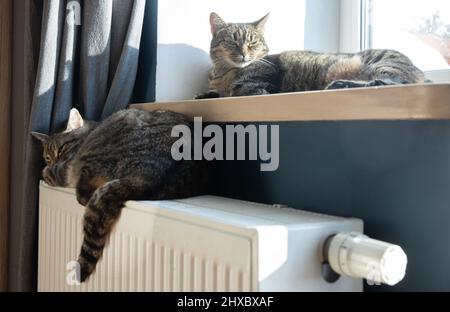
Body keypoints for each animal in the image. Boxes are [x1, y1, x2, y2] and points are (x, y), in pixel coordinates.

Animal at [32, 108, 206, 282]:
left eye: (62, 149)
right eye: (47, 157)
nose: (53, 162)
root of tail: (152, 177)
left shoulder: (65, 168)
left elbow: (51, 173)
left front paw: (46, 171)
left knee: (83, 196)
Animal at [196, 12, 426, 98]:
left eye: (252, 42)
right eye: (232, 41)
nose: (244, 54)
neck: (224, 73)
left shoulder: (261, 85)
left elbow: (238, 90)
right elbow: (216, 93)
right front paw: (206, 94)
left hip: (384, 65)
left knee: (391, 83)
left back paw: (340, 85)